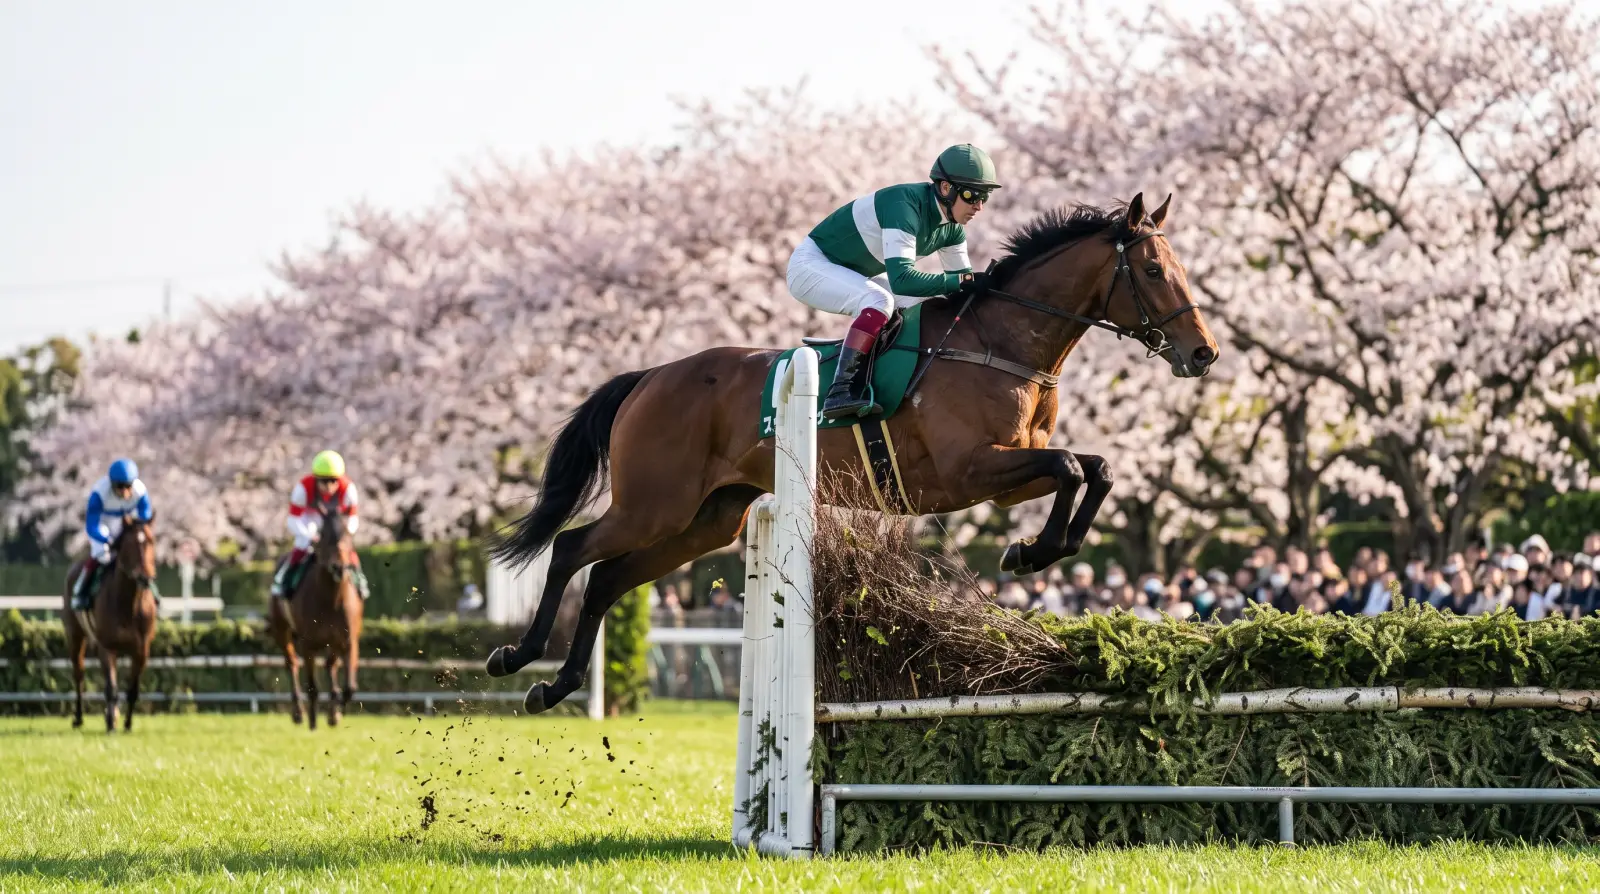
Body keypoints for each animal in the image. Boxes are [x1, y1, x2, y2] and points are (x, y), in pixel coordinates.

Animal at [63, 515, 159, 733]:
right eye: (129, 544)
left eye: (151, 541)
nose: (145, 577)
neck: (128, 605)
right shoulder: (107, 647)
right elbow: (111, 688)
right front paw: (110, 724)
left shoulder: (142, 650)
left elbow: (132, 689)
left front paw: (127, 723)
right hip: (75, 636)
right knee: (78, 674)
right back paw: (78, 718)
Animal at [267, 506, 363, 729]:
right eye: (324, 534)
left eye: (348, 534)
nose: (339, 567)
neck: (331, 599)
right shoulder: (308, 644)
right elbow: (312, 686)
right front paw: (312, 720)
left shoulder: (349, 640)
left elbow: (350, 687)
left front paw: (337, 711)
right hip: (281, 630)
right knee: (292, 663)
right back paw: (299, 713)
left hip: (334, 642)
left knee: (330, 665)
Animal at [484, 193, 1221, 714]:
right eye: (1153, 270)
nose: (1203, 353)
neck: (1001, 344)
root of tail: (649, 376)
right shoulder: (971, 471)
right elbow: (1070, 467)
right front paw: (1030, 552)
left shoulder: (1010, 473)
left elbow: (1095, 469)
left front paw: (1041, 547)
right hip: (654, 504)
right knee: (572, 550)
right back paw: (518, 658)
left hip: (706, 520)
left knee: (608, 578)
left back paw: (555, 686)